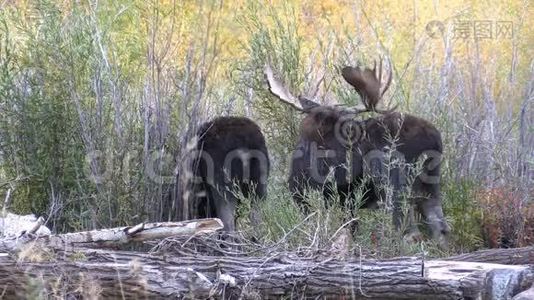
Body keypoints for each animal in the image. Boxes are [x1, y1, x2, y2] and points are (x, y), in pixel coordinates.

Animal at [266, 58, 450, 244]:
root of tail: (434, 138)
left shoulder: (315, 194)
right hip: (430, 184)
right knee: (440, 227)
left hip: (394, 185)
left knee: (409, 230)